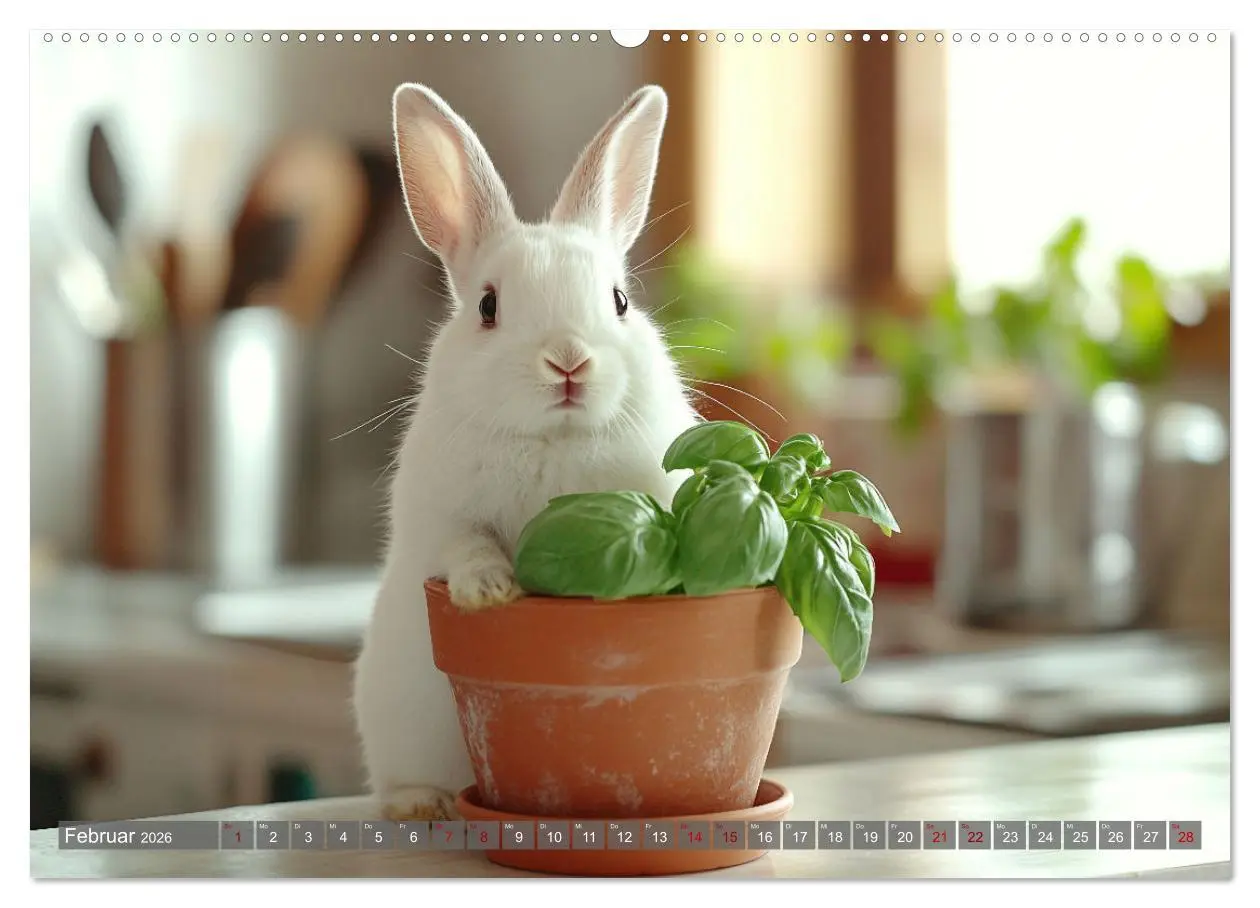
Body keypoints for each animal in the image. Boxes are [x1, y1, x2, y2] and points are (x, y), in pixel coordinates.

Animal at [352, 82, 700, 822]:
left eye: (619, 300)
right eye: (487, 306)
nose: (568, 361)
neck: (552, 440)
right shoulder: (440, 517)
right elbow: (468, 545)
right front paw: (490, 592)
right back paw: (424, 805)